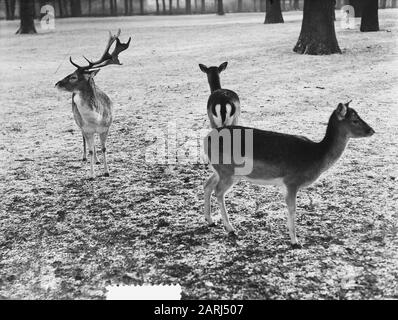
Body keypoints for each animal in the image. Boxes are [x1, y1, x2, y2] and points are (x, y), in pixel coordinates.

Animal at [55, 29, 131, 180]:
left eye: (73, 76)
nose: (57, 83)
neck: (95, 119)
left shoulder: (106, 127)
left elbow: (104, 148)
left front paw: (107, 171)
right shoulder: (86, 129)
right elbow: (90, 149)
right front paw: (91, 175)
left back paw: (97, 160)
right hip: (79, 124)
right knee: (85, 141)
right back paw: (85, 157)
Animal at [204, 101, 374, 249]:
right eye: (354, 120)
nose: (372, 130)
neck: (316, 156)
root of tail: (206, 139)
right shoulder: (292, 181)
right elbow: (292, 208)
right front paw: (295, 242)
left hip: (219, 170)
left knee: (207, 185)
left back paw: (211, 221)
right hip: (228, 171)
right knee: (218, 191)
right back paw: (231, 229)